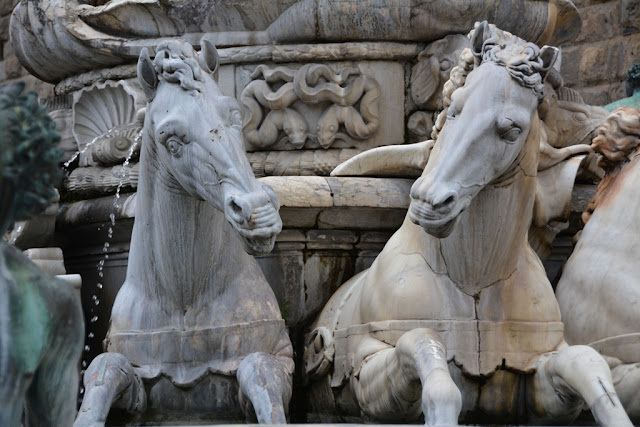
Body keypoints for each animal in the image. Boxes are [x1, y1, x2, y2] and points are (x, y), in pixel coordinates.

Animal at [75, 38, 292, 426]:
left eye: (236, 116)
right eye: (172, 141)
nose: (258, 211)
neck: (183, 298)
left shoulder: (277, 362)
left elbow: (260, 371)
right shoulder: (138, 382)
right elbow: (103, 371)